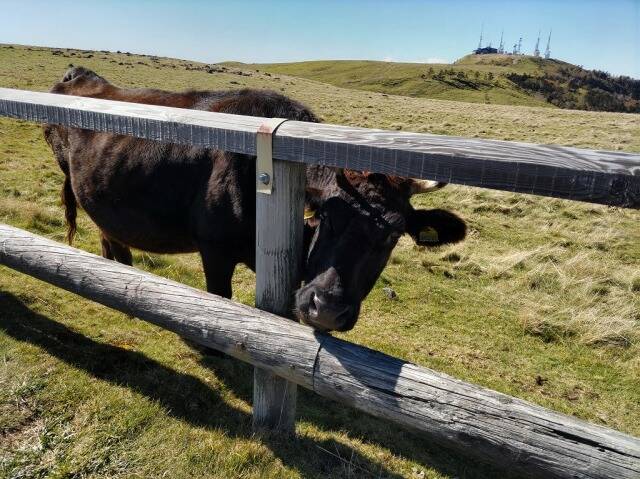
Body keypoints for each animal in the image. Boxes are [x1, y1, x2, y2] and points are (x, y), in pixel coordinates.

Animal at [45, 67, 464, 332]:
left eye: (393, 235)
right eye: (328, 217)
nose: (326, 311)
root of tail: (78, 74)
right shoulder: (214, 247)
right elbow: (220, 297)